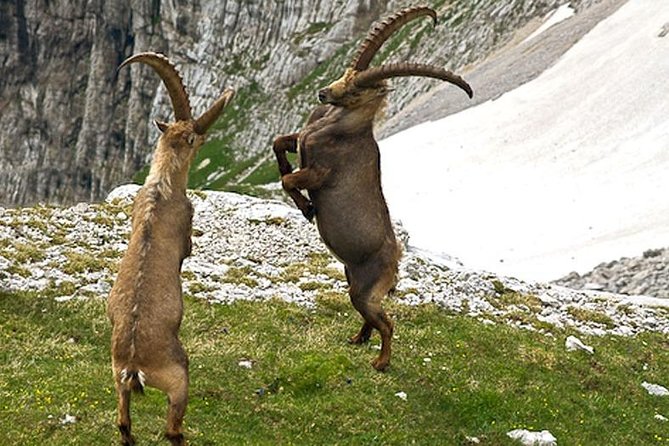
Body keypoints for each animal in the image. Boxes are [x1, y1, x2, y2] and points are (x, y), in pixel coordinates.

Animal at [107, 52, 234, 445]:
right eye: (193, 138)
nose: (204, 137)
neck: (161, 187)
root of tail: (134, 364)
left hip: (115, 378)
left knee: (124, 421)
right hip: (178, 378)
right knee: (171, 426)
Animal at [273, 6, 472, 371]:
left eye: (357, 89)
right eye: (345, 74)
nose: (324, 93)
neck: (341, 128)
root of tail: (395, 265)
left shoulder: (321, 172)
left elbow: (291, 180)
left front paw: (307, 208)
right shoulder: (301, 141)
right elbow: (279, 142)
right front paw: (291, 180)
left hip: (364, 289)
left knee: (386, 322)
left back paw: (380, 362)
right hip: (351, 277)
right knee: (372, 317)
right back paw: (358, 339)